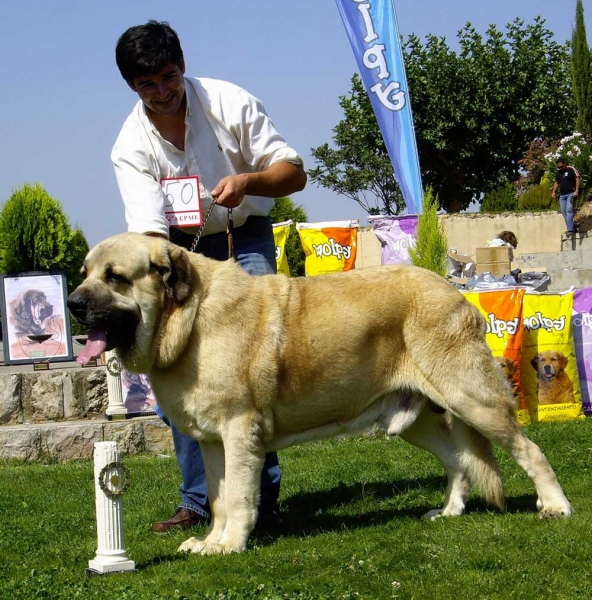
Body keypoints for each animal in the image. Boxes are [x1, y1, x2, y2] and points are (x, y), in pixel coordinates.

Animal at [67, 233, 572, 552]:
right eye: (84, 273)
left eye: (115, 276)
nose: (72, 303)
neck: (187, 320)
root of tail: (456, 293)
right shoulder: (212, 442)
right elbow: (217, 499)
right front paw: (210, 541)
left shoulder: (239, 431)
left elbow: (238, 498)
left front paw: (229, 546)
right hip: (416, 419)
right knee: (458, 461)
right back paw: (449, 511)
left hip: (472, 399)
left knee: (528, 450)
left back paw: (555, 506)